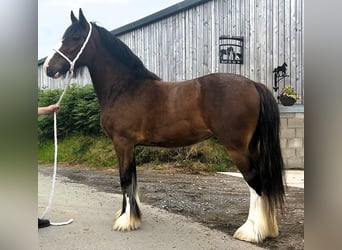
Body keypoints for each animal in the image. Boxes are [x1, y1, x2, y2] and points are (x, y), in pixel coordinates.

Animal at [44, 8, 286, 243]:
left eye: (75, 37)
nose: (48, 67)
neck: (125, 88)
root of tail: (253, 84)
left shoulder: (122, 143)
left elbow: (125, 179)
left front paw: (124, 221)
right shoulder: (131, 146)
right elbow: (132, 179)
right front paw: (131, 217)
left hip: (236, 148)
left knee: (255, 181)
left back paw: (251, 232)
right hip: (251, 146)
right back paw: (267, 228)